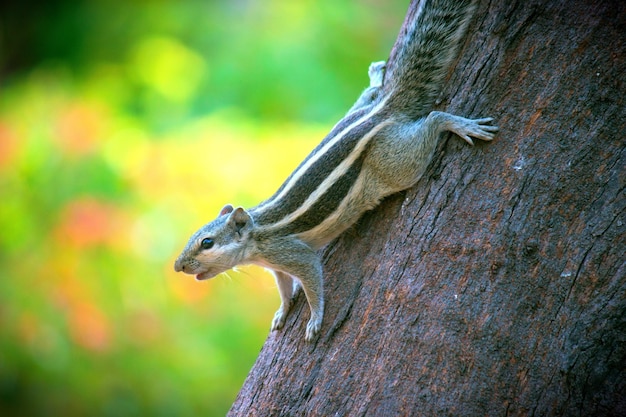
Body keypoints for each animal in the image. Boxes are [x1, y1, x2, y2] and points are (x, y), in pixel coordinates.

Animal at [173, 0, 494, 342]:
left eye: (207, 243)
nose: (179, 266)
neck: (258, 236)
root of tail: (382, 112)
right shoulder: (278, 266)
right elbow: (284, 288)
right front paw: (282, 311)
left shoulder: (293, 254)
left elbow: (313, 283)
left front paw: (315, 318)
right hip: (364, 114)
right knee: (369, 96)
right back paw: (376, 79)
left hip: (393, 162)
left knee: (431, 121)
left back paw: (455, 123)